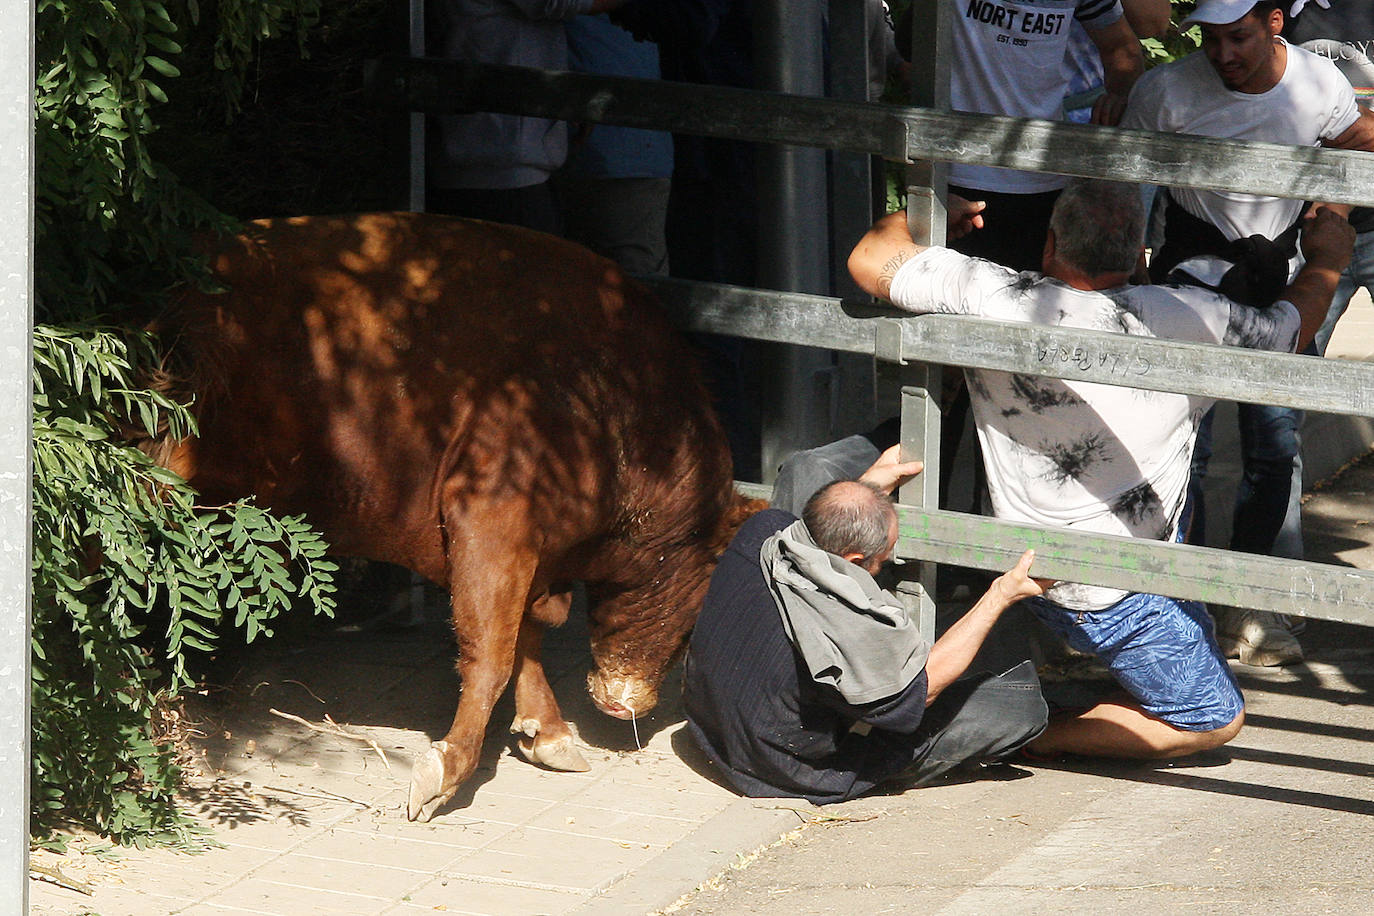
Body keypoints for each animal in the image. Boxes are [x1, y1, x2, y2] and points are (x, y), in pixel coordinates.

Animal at [150, 215, 763, 823]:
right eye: (699, 610)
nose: (629, 706)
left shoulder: (534, 550)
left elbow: (527, 634)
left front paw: (546, 731)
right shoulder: (490, 521)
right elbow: (491, 649)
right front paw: (447, 770)